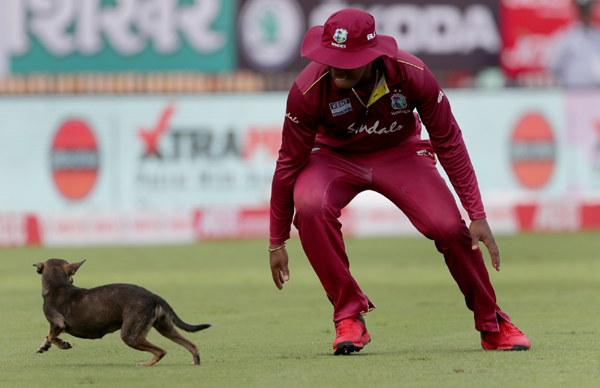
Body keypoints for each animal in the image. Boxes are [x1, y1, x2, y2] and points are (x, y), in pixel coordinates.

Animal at [34, 260, 211, 366]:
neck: (57, 285)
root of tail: (154, 296)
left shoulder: (57, 324)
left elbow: (51, 336)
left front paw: (60, 345)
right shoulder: (59, 326)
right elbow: (48, 336)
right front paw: (45, 346)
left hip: (130, 335)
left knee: (162, 351)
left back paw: (145, 364)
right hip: (165, 327)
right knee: (191, 344)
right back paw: (195, 363)